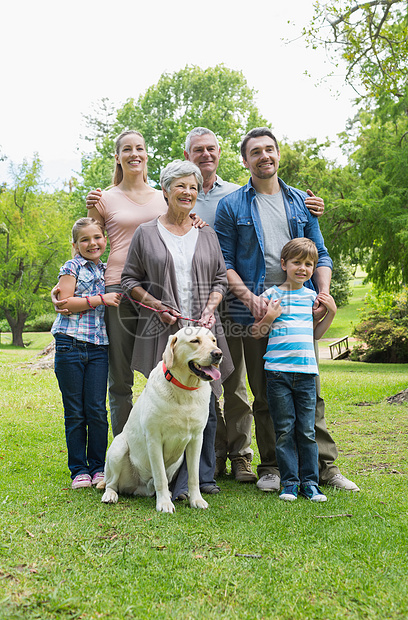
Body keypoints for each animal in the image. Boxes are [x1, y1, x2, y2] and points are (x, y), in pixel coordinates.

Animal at [97, 326, 222, 512]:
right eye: (195, 341)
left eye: (213, 340)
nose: (218, 353)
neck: (184, 390)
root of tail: (138, 487)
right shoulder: (154, 439)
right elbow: (160, 476)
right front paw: (164, 504)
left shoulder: (196, 439)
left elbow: (193, 476)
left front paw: (196, 500)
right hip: (118, 448)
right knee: (111, 483)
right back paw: (110, 495)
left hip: (178, 461)